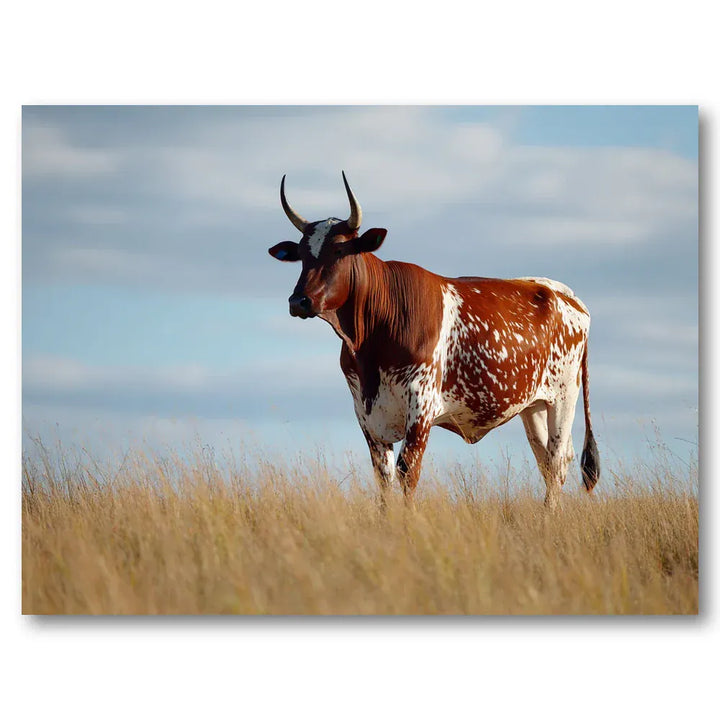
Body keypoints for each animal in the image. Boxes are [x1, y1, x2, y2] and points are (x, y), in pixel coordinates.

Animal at [268, 172, 600, 508]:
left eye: (338, 251)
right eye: (301, 255)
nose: (299, 301)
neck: (369, 343)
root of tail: (560, 291)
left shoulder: (421, 405)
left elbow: (407, 471)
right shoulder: (366, 413)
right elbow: (383, 477)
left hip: (563, 399)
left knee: (556, 462)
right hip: (533, 407)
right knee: (548, 460)